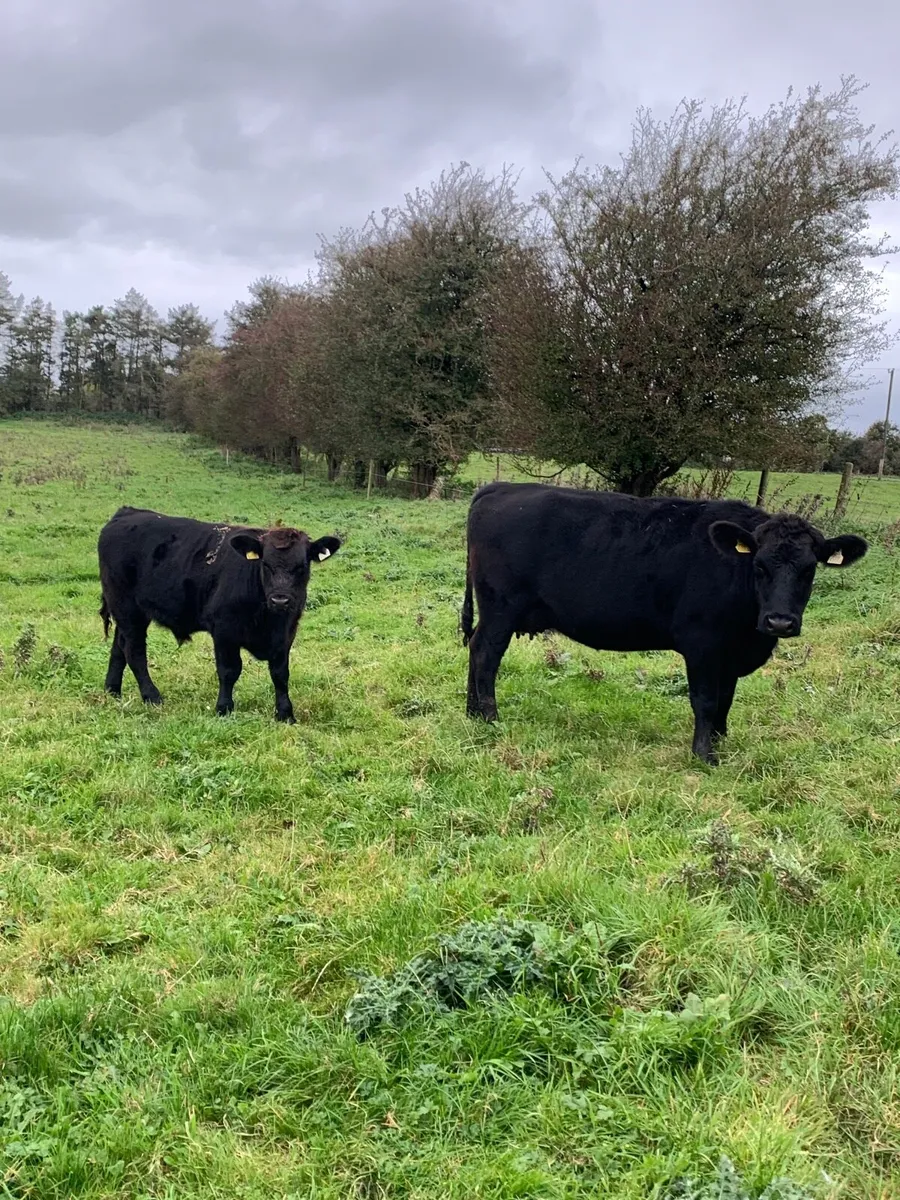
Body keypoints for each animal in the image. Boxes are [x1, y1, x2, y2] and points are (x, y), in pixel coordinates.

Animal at [98, 506, 340, 722]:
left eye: (302, 566)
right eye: (265, 564)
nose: (280, 600)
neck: (268, 618)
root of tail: (126, 513)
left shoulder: (286, 633)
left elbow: (280, 674)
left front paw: (285, 713)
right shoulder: (224, 630)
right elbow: (229, 671)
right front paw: (224, 708)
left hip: (128, 612)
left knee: (119, 646)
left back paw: (112, 690)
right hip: (127, 608)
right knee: (134, 651)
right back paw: (152, 696)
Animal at [461, 482, 868, 764]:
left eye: (808, 569)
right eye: (759, 566)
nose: (779, 622)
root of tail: (500, 487)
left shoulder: (731, 653)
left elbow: (726, 700)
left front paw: (720, 742)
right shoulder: (702, 644)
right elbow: (705, 700)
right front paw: (703, 756)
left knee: (475, 650)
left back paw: (472, 713)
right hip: (502, 609)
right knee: (486, 656)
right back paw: (491, 717)